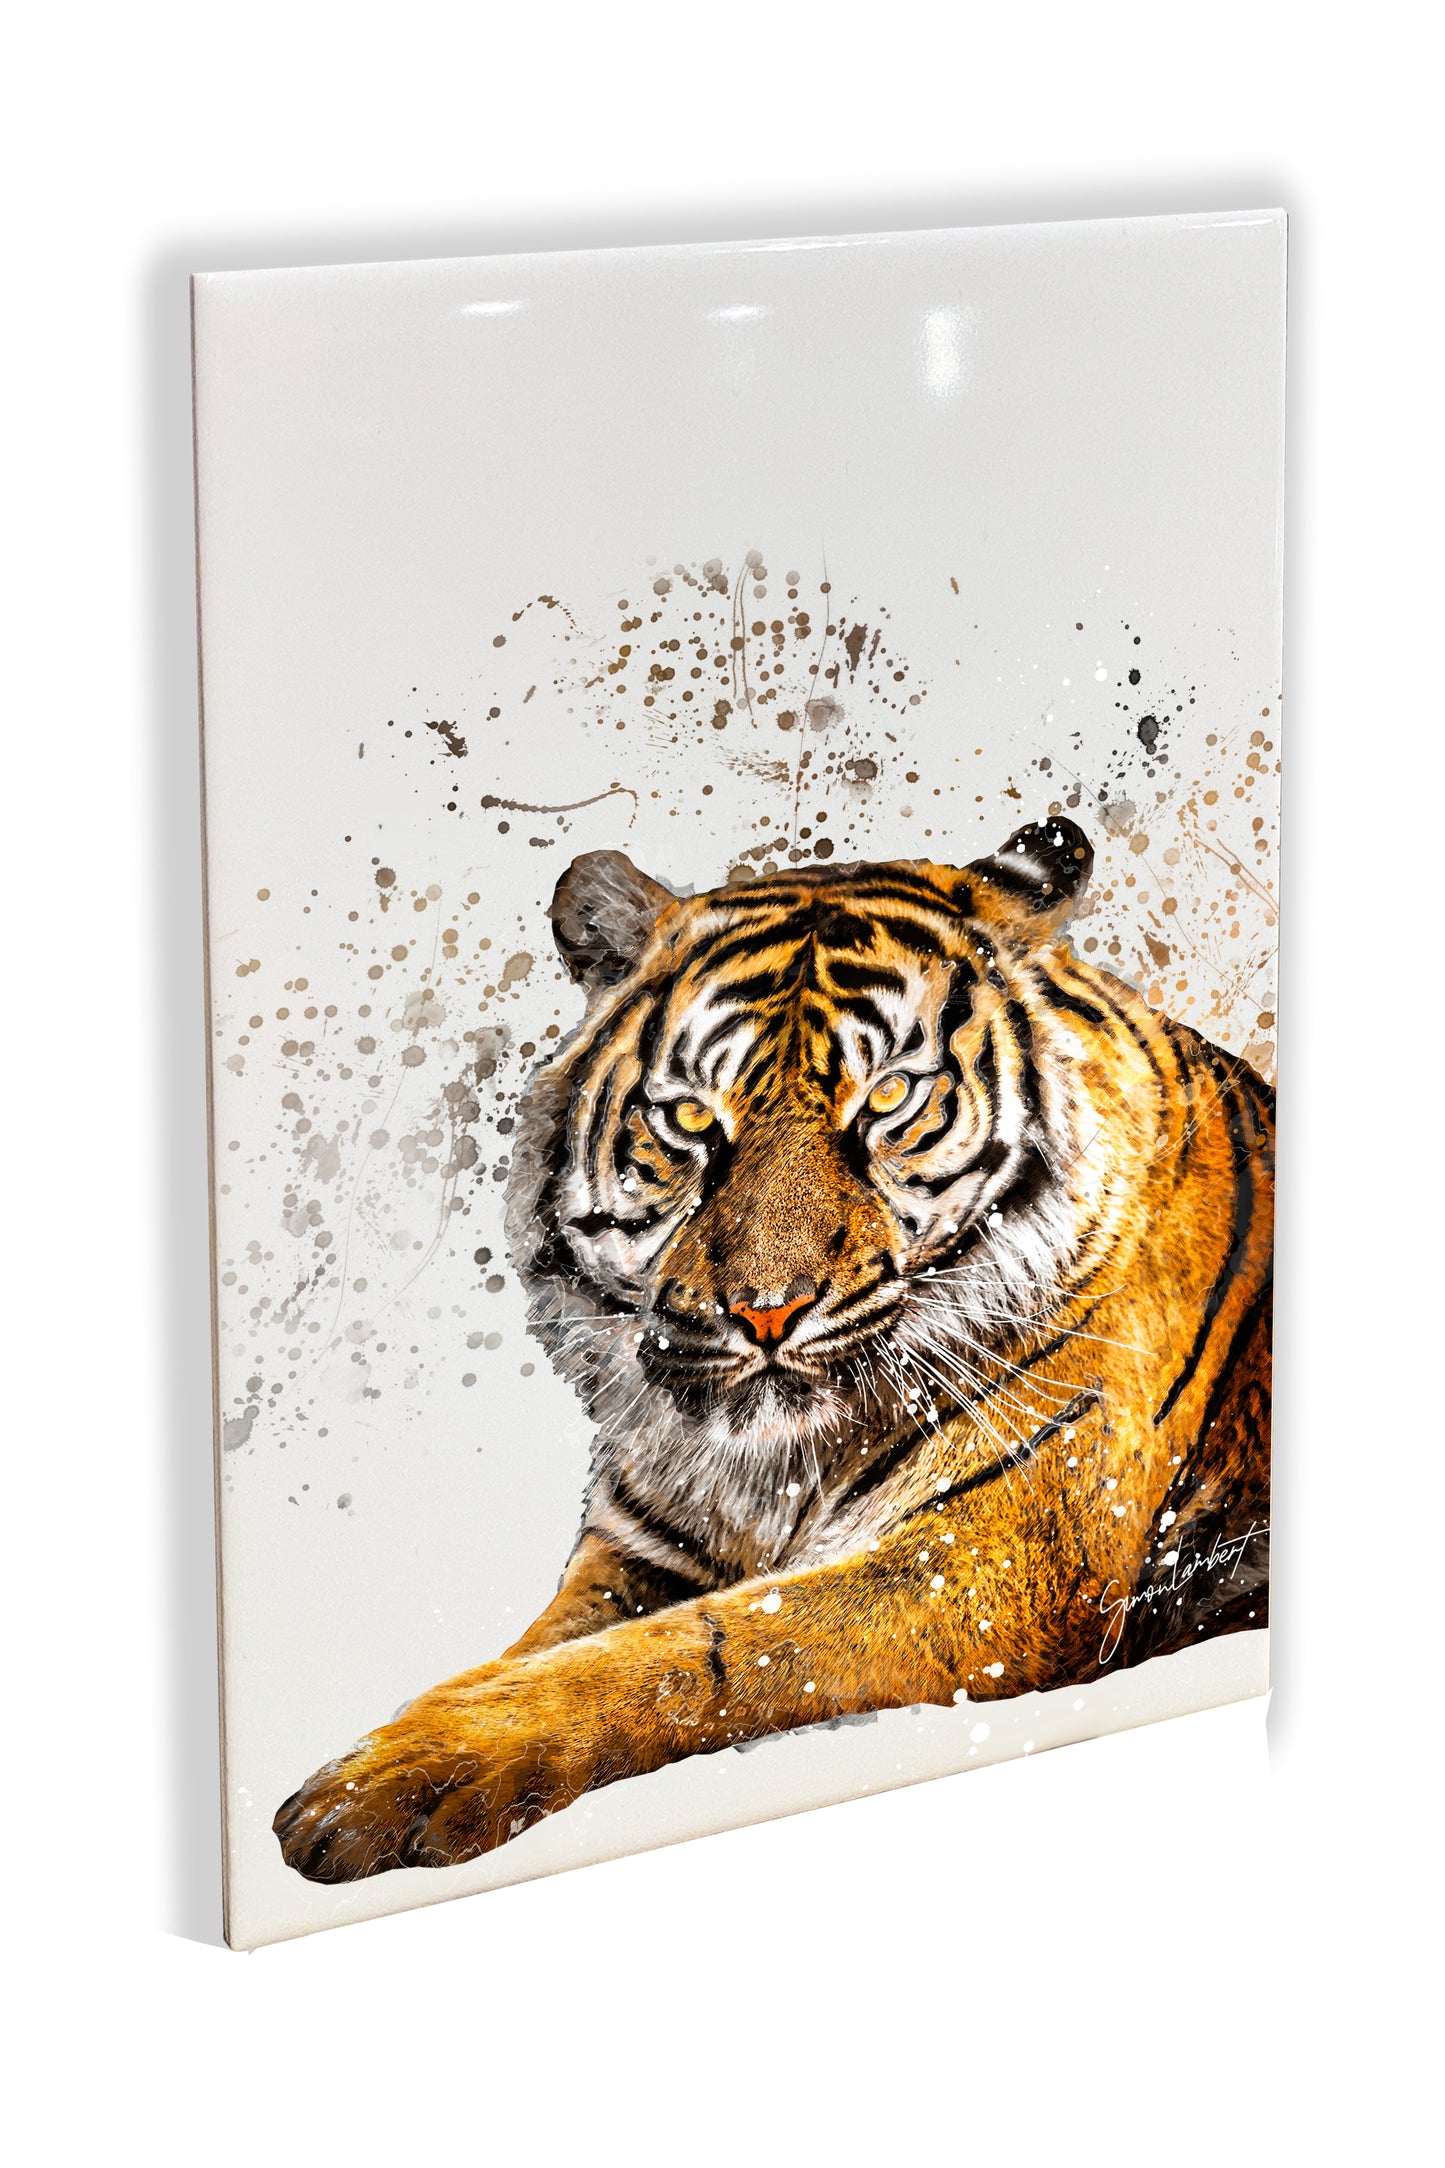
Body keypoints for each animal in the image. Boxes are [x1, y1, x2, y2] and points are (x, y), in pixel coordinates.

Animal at [276, 816, 1273, 1882]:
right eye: (690, 1116)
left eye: (889, 1097)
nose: (765, 1312)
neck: (774, 1466)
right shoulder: (637, 1546)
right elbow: (545, 1645)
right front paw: (392, 1747)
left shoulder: (991, 1564)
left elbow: (697, 1648)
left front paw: (393, 1780)